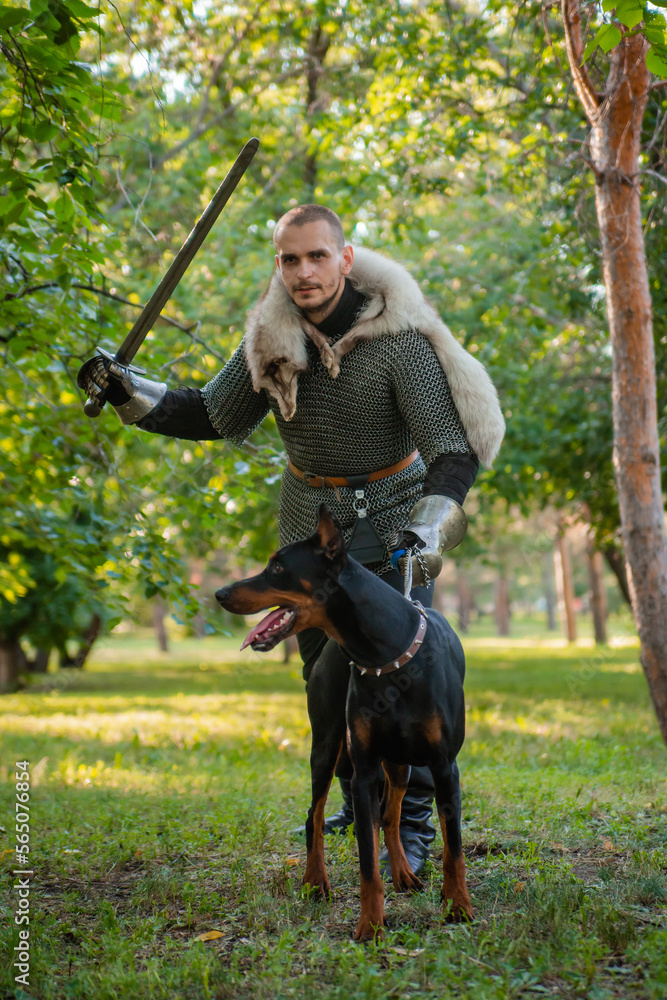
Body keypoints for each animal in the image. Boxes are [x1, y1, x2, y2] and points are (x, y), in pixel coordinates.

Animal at [215, 504, 474, 940]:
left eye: (277, 567)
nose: (219, 593)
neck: (386, 656)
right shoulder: (364, 770)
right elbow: (366, 859)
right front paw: (370, 925)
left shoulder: (443, 766)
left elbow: (452, 848)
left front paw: (458, 905)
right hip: (326, 746)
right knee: (315, 816)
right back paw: (314, 882)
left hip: (400, 764)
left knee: (391, 815)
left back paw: (403, 873)